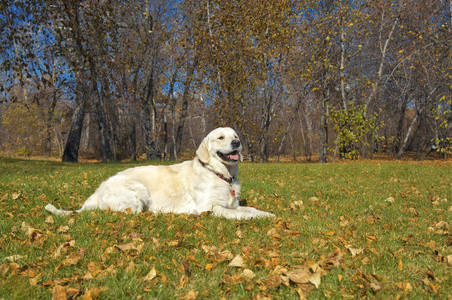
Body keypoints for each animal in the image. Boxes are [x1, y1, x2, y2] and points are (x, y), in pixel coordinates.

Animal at [45, 127, 276, 220]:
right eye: (220, 137)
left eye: (235, 135)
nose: (237, 143)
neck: (221, 174)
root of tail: (96, 192)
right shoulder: (211, 208)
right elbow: (241, 214)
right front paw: (258, 218)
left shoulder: (232, 203)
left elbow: (250, 209)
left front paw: (268, 214)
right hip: (137, 191)